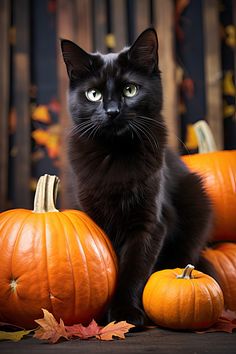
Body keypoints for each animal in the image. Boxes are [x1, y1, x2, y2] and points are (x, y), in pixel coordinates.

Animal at [60, 27, 214, 326]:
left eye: (130, 90)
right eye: (93, 94)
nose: (112, 112)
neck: (116, 155)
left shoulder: (149, 224)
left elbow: (133, 269)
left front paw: (124, 313)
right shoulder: (93, 215)